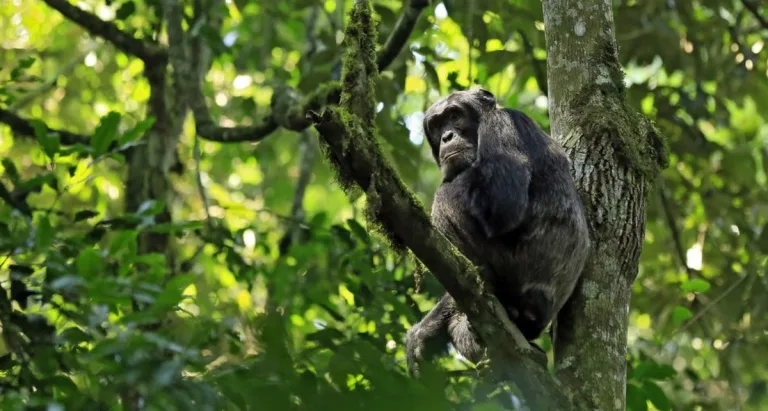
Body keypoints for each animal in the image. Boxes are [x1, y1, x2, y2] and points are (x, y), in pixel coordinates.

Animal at [405, 88, 590, 375]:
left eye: (454, 116)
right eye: (436, 125)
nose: (447, 136)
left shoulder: (500, 125)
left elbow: (502, 206)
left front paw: (422, 332)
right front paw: (425, 332)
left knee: (445, 195)